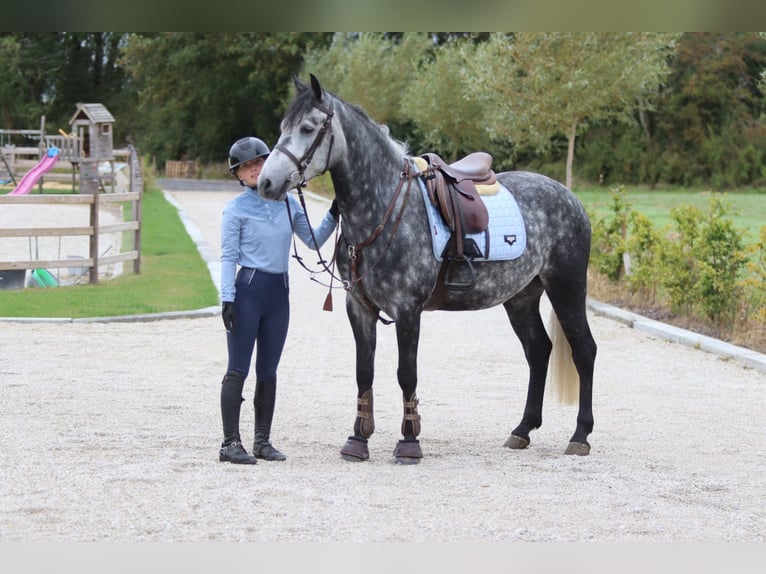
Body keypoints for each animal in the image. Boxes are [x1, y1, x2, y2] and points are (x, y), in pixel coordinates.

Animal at [258, 74, 597, 463]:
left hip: (566, 287)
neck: (384, 208)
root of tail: (570, 198)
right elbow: (364, 372)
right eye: (282, 127)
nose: (266, 182)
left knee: (584, 350)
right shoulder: (359, 307)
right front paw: (358, 440)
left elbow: (407, 374)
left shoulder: (408, 310)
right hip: (521, 297)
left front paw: (409, 442)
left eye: (308, 127)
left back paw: (581, 435)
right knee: (538, 351)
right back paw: (522, 430)